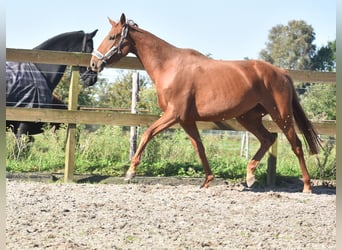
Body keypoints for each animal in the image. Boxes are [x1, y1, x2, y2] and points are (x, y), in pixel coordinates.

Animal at [89, 13, 320, 192]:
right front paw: (207, 181)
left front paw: (130, 173)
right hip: (248, 117)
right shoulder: (186, 120)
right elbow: (199, 147)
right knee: (268, 138)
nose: (94, 64)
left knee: (296, 145)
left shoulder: (173, 115)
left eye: (112, 37)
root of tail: (281, 72)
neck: (170, 67)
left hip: (281, 115)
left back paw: (307, 186)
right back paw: (250, 176)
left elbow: (147, 134)